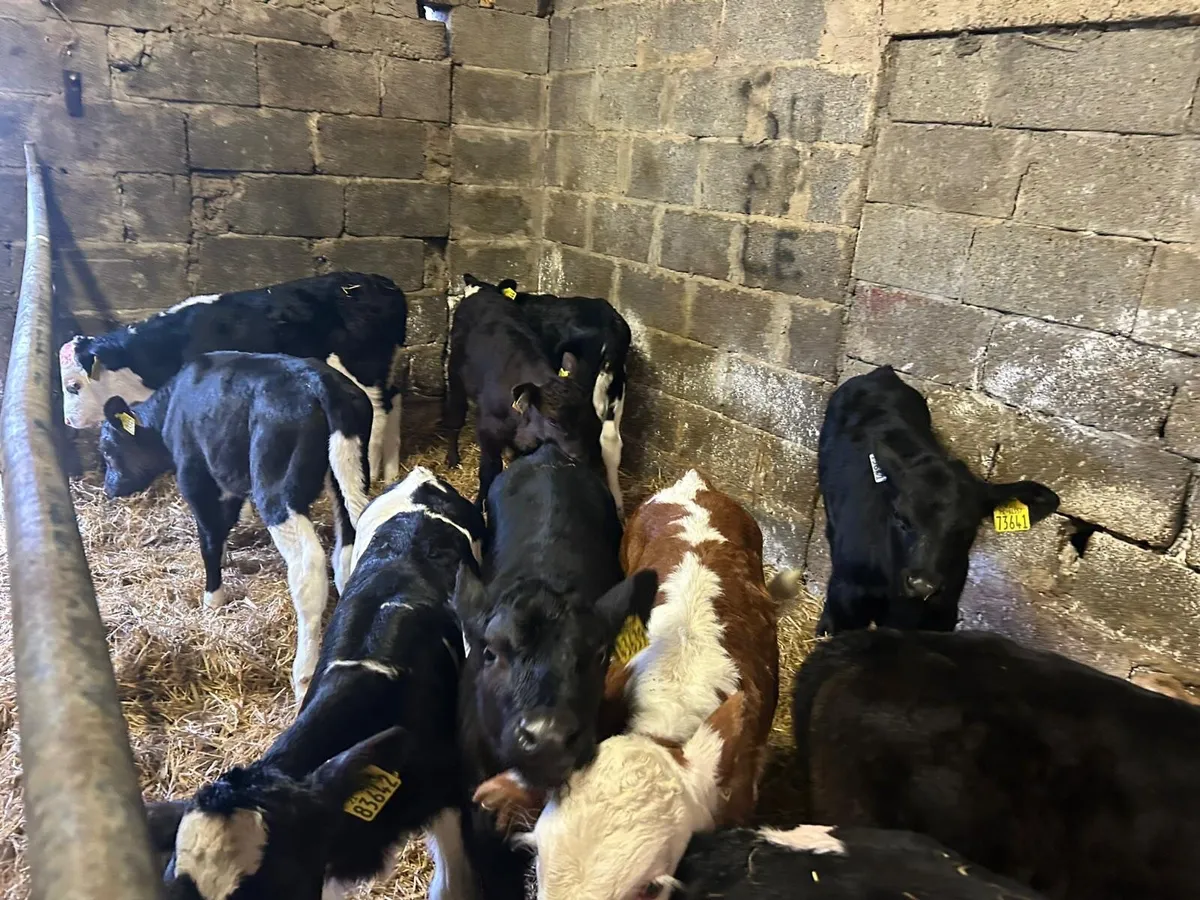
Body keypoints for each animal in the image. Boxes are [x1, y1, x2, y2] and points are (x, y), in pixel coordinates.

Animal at [59, 272, 407, 483]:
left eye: (73, 386)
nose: (67, 422)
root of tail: (381, 284)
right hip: (384, 366)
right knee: (394, 402)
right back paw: (390, 473)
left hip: (362, 367)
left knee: (377, 413)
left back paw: (370, 469)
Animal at [98, 351, 372, 702]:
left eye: (108, 450)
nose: (109, 488)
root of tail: (319, 381)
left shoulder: (197, 476)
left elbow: (209, 536)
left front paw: (212, 598)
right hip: (348, 476)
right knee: (351, 544)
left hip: (276, 487)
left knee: (308, 565)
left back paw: (303, 675)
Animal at [817, 365, 1059, 635]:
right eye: (900, 518)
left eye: (968, 530)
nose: (922, 585)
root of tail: (882, 373)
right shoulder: (845, 597)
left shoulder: (942, 614)